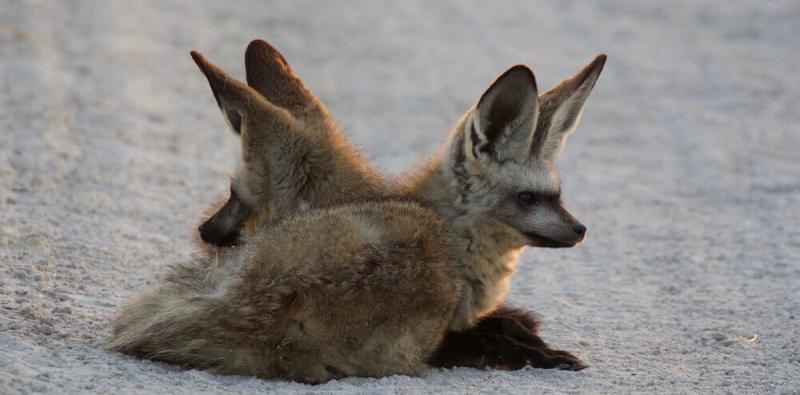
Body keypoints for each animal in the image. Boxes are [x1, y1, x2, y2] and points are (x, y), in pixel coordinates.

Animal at [108, 40, 608, 384]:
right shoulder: (445, 333)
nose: (581, 230)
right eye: (528, 199)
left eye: (555, 196)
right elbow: (497, 334)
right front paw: (536, 350)